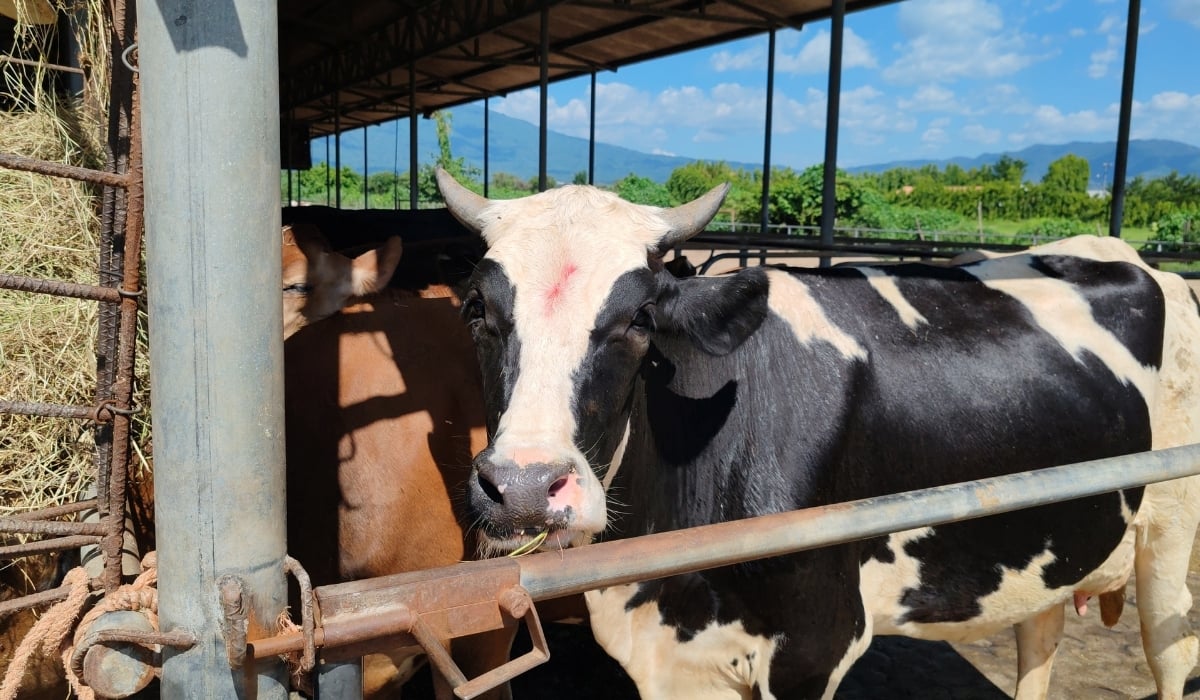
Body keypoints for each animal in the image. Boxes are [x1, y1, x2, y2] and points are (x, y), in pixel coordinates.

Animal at [435, 168, 1200, 700]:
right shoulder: (676, 656)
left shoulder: (817, 641)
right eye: (475, 309)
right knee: (1040, 637)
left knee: (1171, 650)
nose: (524, 487)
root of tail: (1126, 256)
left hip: (1169, 535)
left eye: (639, 319)